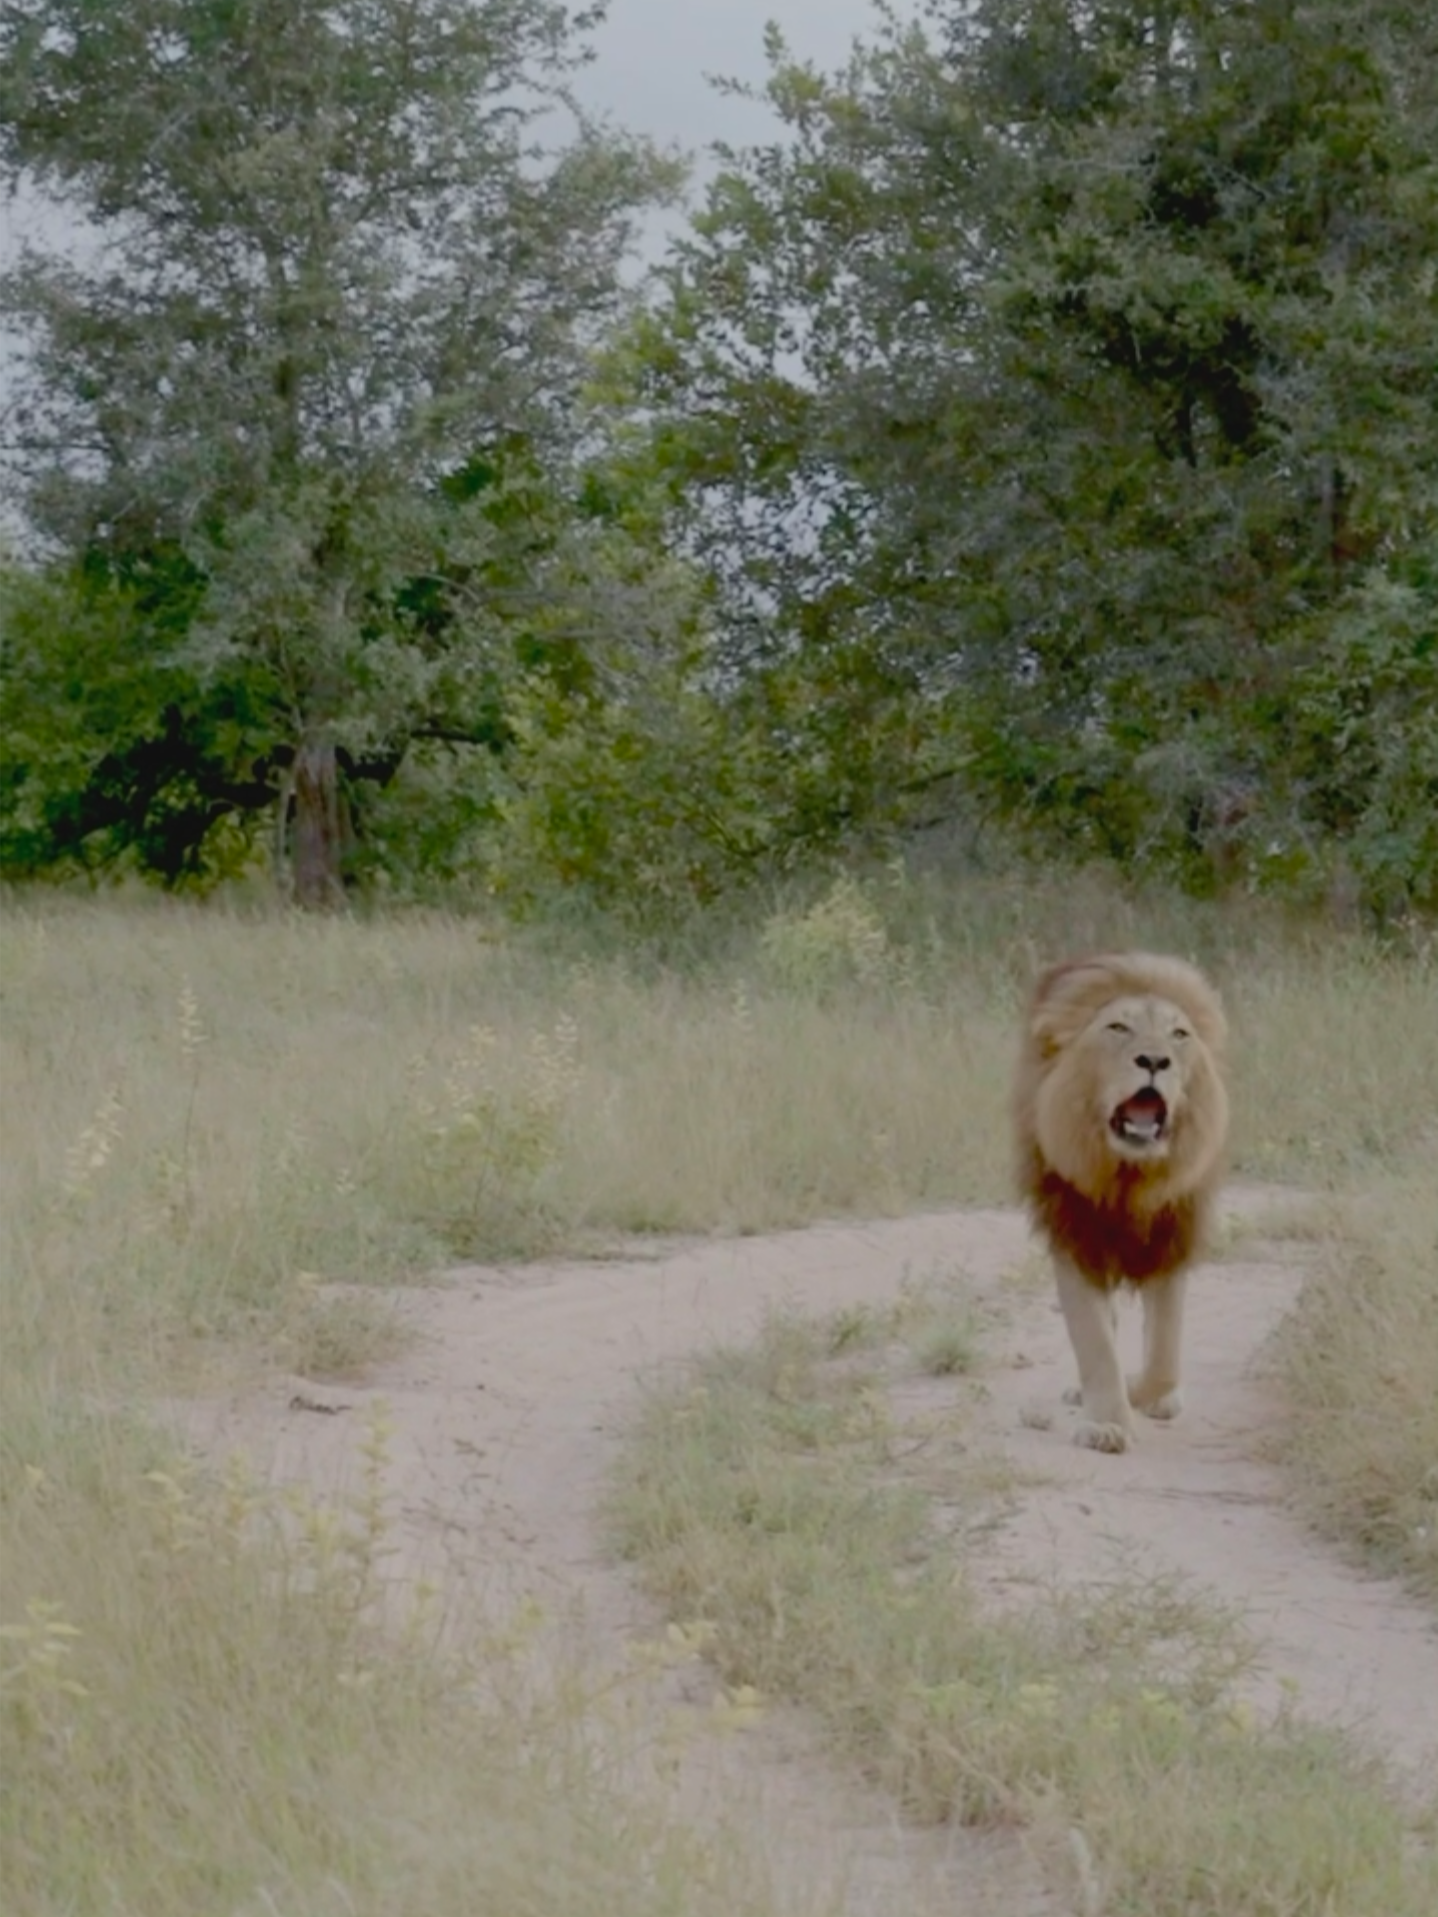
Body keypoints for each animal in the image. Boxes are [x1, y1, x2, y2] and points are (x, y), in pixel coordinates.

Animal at [1020, 950, 1234, 1456]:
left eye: (1179, 1034)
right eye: (1118, 1027)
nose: (1155, 1060)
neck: (1129, 1176)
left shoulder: (1172, 1239)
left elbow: (1164, 1356)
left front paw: (1142, 1392)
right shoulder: (1074, 1236)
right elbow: (1095, 1340)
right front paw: (1106, 1423)